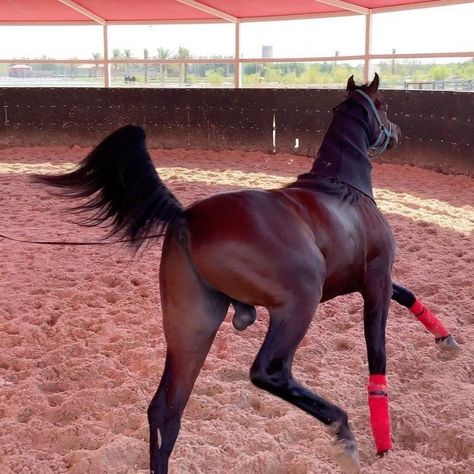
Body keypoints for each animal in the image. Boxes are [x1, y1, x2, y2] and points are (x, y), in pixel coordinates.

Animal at [33, 73, 456, 470]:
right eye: (383, 105)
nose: (396, 132)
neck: (342, 189)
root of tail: (186, 216)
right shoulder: (375, 280)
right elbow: (378, 355)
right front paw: (383, 443)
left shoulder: (364, 280)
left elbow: (407, 294)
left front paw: (446, 340)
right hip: (299, 303)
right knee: (269, 371)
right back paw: (343, 432)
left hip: (193, 326)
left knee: (165, 412)